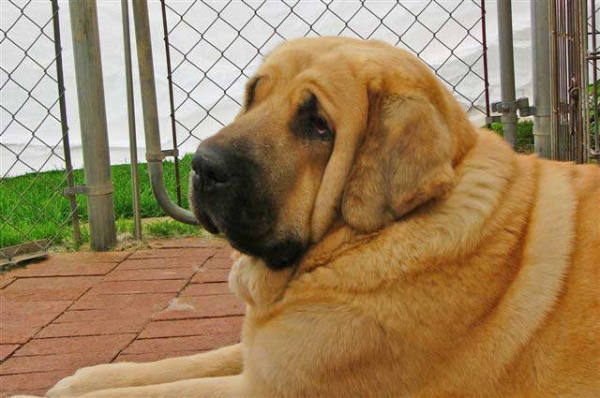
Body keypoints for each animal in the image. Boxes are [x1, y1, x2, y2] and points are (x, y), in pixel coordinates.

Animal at [41, 37, 596, 398]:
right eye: (254, 95)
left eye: (318, 125)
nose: (202, 165)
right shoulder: (270, 352)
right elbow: (188, 361)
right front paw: (84, 379)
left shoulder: (270, 385)